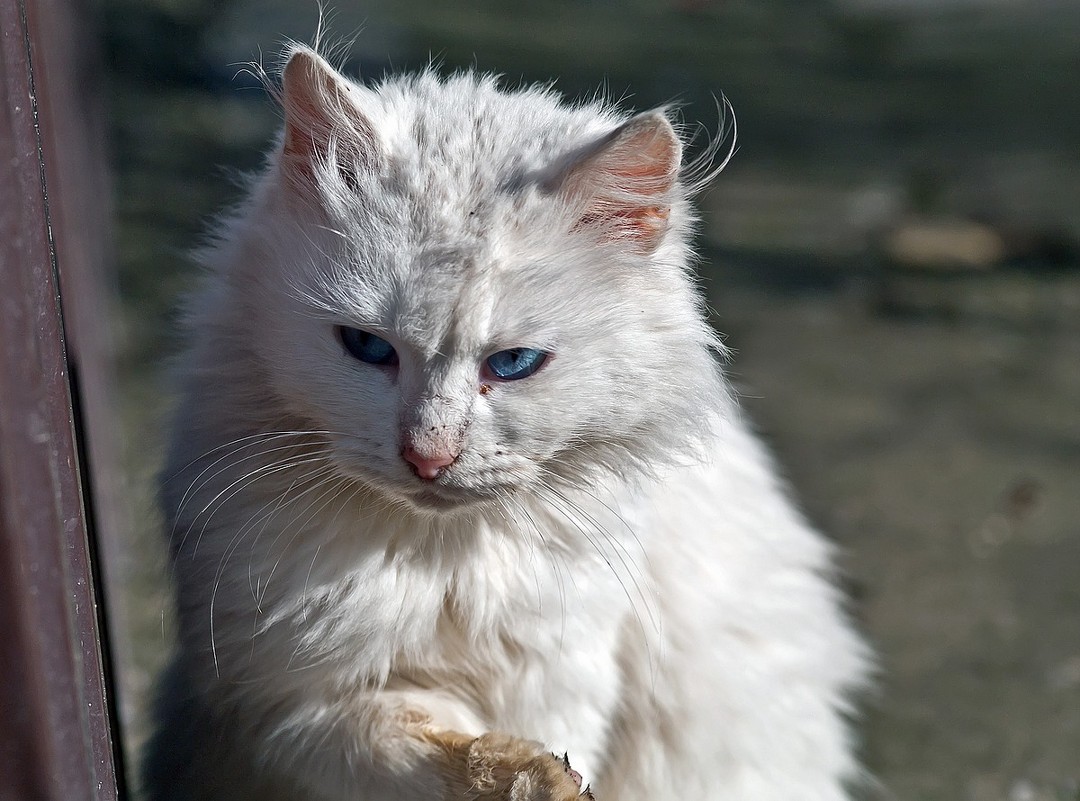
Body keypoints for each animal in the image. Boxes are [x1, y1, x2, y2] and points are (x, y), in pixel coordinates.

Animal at [141, 45, 868, 801]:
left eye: (514, 363)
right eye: (367, 347)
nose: (428, 457)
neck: (438, 565)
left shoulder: (562, 679)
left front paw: (538, 776)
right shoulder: (294, 707)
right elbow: (420, 738)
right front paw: (517, 771)